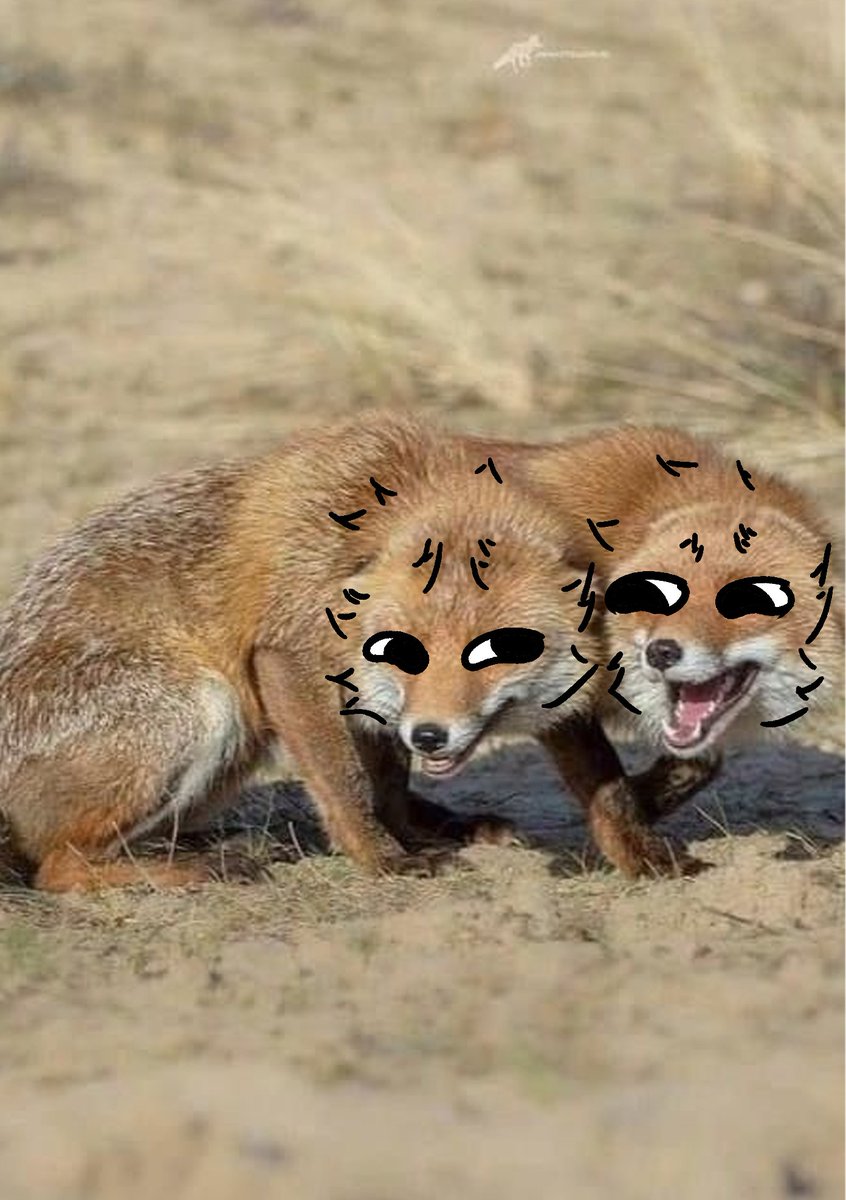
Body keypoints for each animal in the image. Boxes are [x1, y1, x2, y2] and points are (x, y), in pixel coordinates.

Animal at [0, 414, 706, 892]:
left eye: (497, 652)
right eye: (403, 650)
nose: (429, 734)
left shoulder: (368, 694)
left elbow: (388, 778)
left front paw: (410, 834)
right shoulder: (288, 657)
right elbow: (347, 784)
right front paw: (381, 858)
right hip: (204, 705)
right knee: (55, 867)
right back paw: (196, 866)